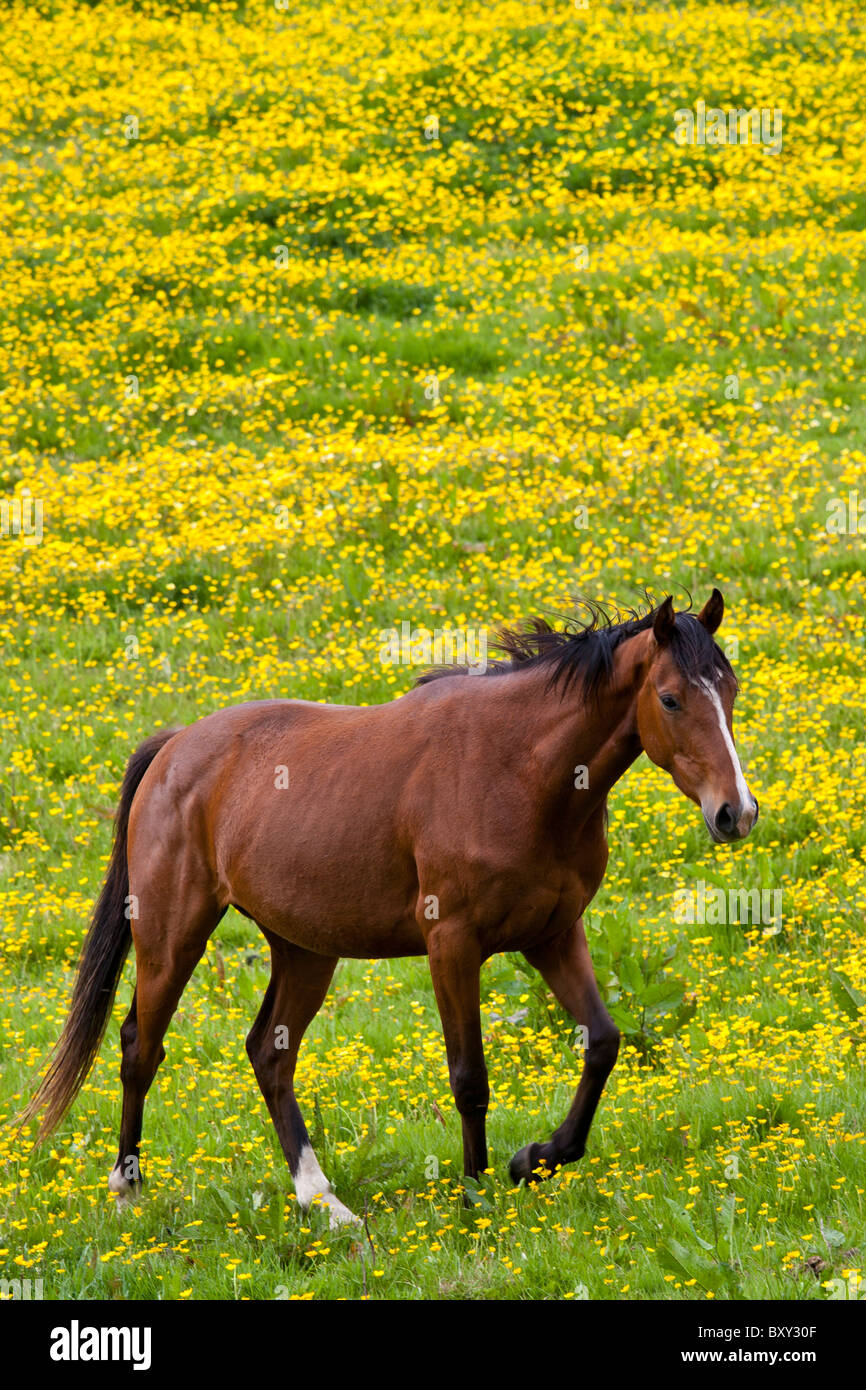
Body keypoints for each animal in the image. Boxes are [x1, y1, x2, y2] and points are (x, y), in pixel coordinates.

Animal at [22, 586, 756, 1228]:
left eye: (731, 691)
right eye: (670, 698)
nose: (736, 813)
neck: (517, 767)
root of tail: (174, 747)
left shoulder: (553, 935)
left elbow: (602, 1042)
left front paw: (534, 1160)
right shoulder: (452, 943)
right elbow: (470, 1076)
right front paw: (475, 1194)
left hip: (305, 950)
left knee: (268, 1054)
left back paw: (325, 1203)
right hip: (173, 937)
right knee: (140, 1047)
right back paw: (127, 1191)